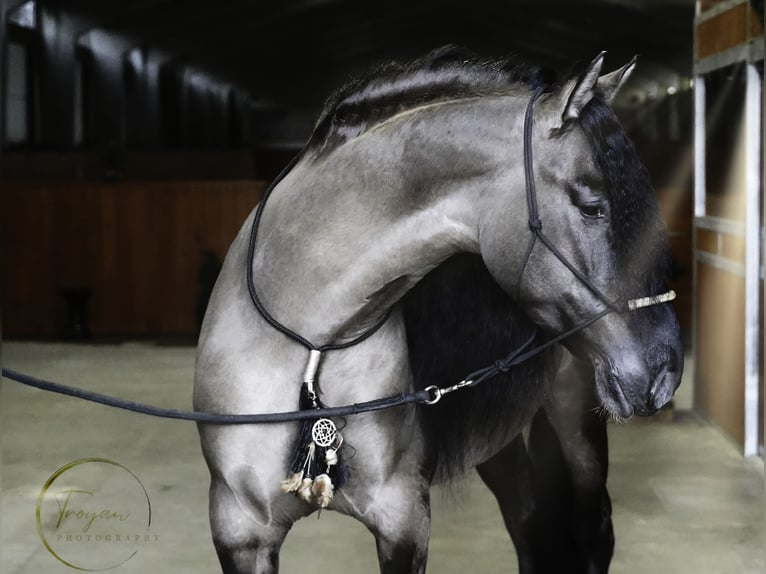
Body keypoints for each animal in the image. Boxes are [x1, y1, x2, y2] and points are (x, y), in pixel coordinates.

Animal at [196, 46, 684, 574]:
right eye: (592, 206)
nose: (665, 372)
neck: (308, 349)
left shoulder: (402, 520)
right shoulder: (240, 530)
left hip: (576, 420)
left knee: (593, 530)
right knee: (528, 518)